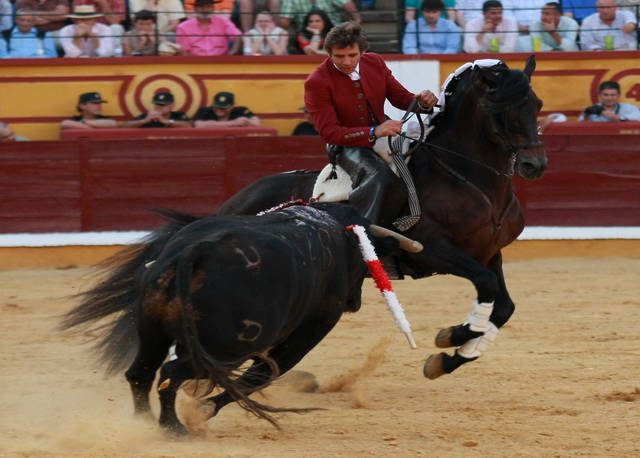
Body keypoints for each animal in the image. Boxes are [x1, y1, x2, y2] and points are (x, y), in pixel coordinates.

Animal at [58, 202, 420, 434]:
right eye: (363, 257)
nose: (354, 303)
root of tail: (194, 252)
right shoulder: (306, 335)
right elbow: (259, 376)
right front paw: (203, 409)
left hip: (151, 329)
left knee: (141, 372)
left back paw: (144, 422)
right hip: (226, 347)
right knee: (171, 373)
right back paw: (174, 428)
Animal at [218, 56, 548, 380]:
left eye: (537, 104)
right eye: (499, 110)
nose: (535, 165)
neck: (467, 177)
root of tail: (231, 205)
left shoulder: (489, 253)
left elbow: (503, 306)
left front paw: (447, 359)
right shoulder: (431, 250)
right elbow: (487, 286)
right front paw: (451, 336)